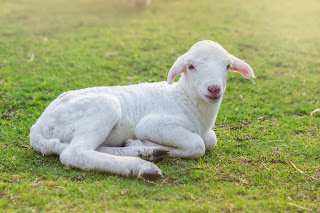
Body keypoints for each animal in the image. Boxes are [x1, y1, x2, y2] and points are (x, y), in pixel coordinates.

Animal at [30, 40, 255, 180]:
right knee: (74, 153)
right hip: (103, 107)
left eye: (227, 66)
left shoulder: (207, 131)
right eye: (190, 66)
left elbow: (210, 140)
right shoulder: (152, 124)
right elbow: (198, 144)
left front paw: (144, 145)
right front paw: (155, 146)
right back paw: (141, 167)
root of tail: (38, 126)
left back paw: (145, 152)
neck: (185, 100)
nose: (214, 88)